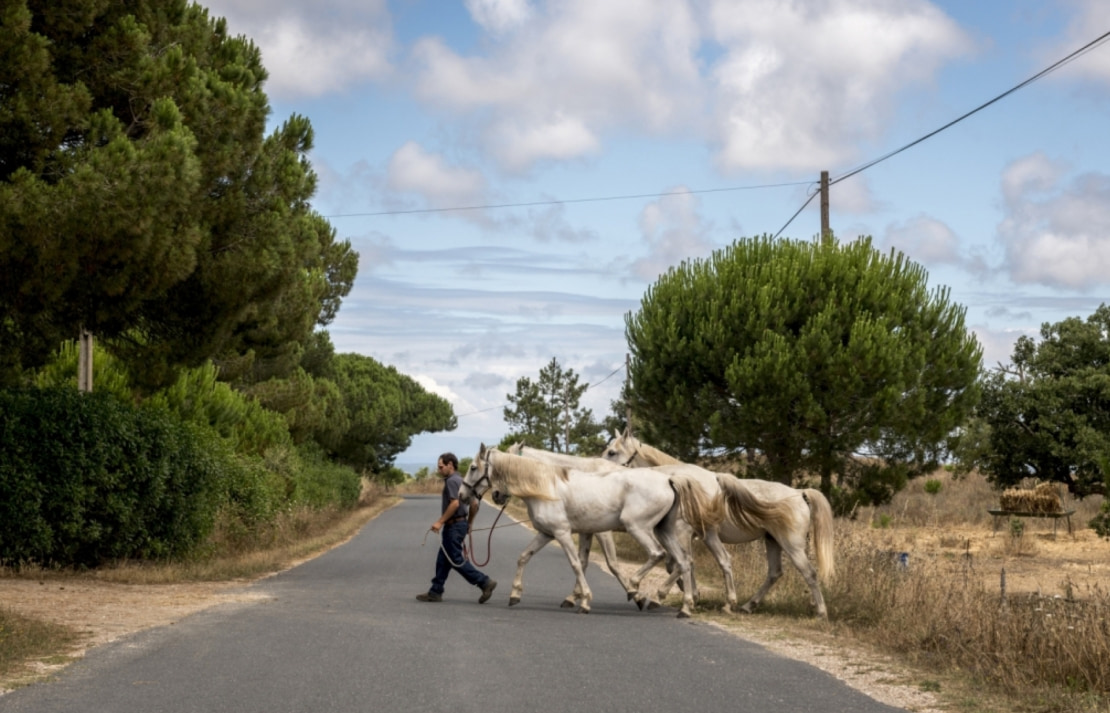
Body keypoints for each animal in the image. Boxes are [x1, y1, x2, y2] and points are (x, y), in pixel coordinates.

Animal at [455, 442, 697, 613]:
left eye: (473, 467)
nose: (462, 495)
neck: (548, 486)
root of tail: (668, 481)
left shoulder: (564, 533)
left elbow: (578, 564)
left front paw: (585, 601)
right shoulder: (547, 533)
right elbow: (524, 557)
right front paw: (515, 595)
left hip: (639, 528)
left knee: (659, 555)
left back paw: (636, 587)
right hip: (663, 531)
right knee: (683, 561)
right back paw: (683, 607)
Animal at [608, 426, 834, 617]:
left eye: (611, 452)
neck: (679, 481)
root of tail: (800, 493)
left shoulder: (684, 533)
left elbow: (684, 562)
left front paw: (670, 596)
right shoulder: (691, 535)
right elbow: (678, 564)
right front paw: (689, 595)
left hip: (792, 545)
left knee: (809, 573)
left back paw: (821, 612)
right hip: (773, 542)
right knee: (774, 573)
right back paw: (747, 606)